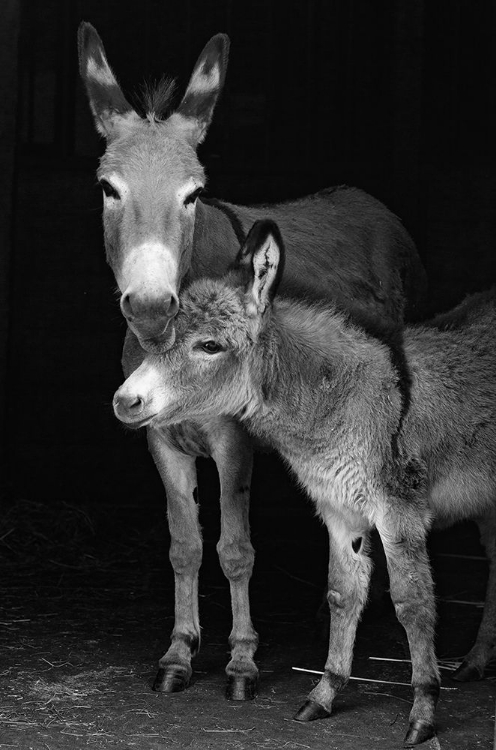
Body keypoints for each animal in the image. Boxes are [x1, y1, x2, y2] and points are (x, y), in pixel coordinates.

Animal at [113, 222, 496, 748]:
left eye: (210, 346)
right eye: (160, 337)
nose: (124, 401)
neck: (344, 398)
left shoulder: (399, 512)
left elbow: (413, 604)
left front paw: (422, 710)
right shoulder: (340, 511)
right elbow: (342, 594)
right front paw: (324, 693)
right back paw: (477, 661)